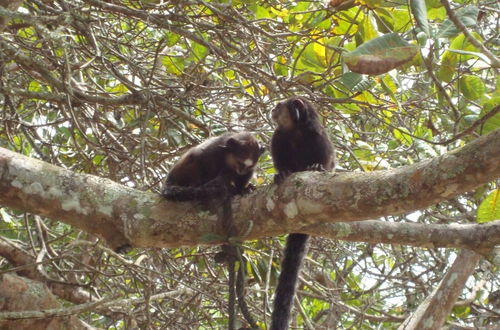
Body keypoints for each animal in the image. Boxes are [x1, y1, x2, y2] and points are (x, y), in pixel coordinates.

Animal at [270, 96, 336, 330]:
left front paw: (317, 166)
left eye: (279, 107)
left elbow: (328, 162)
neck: (295, 131)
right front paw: (281, 173)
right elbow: (280, 163)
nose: (272, 109)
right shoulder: (277, 137)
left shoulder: (317, 134)